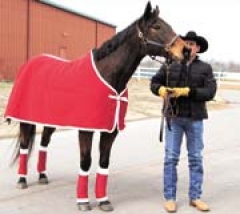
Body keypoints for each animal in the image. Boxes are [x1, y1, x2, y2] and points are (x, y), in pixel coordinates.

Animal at [3, 1, 188, 211]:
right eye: (156, 26)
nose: (185, 51)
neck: (108, 76)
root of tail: (30, 63)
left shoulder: (111, 130)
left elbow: (103, 162)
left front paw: (103, 200)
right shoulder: (86, 129)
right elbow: (85, 161)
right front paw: (83, 201)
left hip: (50, 120)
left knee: (43, 144)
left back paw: (43, 176)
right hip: (25, 120)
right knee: (25, 146)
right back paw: (22, 180)